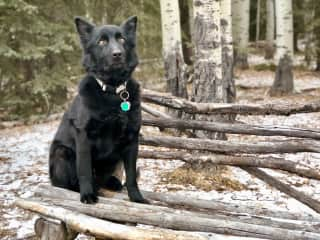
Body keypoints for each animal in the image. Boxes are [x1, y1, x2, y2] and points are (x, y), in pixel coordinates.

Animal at [48, 15, 148, 203]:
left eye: (122, 39)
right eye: (101, 42)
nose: (117, 54)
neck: (112, 92)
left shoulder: (132, 139)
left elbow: (131, 175)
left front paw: (137, 198)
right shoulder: (84, 137)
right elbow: (85, 170)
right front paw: (87, 195)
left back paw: (112, 183)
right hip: (62, 152)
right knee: (68, 184)